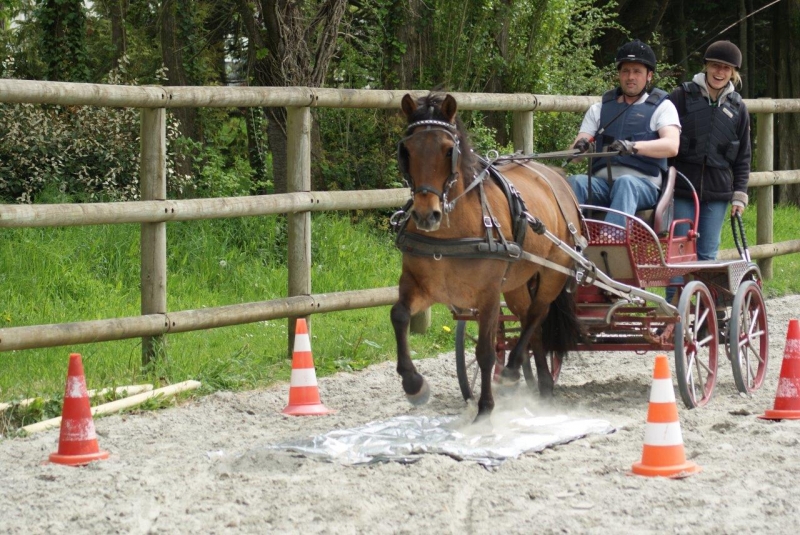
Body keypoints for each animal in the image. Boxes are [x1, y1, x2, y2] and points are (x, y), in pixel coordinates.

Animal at [390, 93, 584, 422]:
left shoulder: (489, 294)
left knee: (537, 314)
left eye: (448, 150)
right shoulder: (421, 285)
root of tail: (556, 177)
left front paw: (485, 409)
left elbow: (485, 351)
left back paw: (512, 371)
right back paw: (543, 386)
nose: (427, 215)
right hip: (517, 283)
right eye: (407, 150)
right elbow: (399, 315)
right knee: (530, 322)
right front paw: (414, 384)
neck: (451, 234)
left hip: (553, 272)